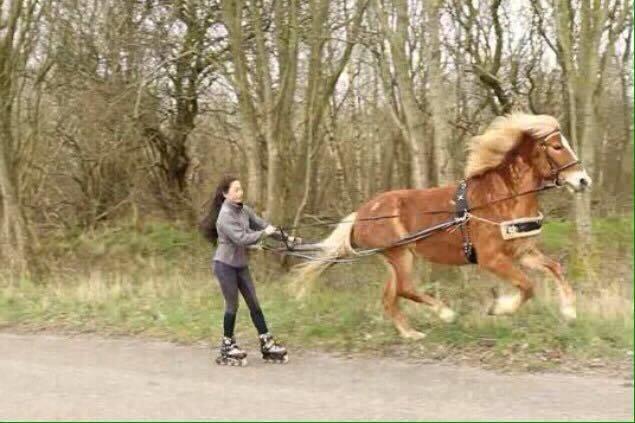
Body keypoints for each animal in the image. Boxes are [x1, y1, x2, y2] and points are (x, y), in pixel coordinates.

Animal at [296, 113, 592, 342]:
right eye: (556, 146)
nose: (583, 180)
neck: (500, 199)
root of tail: (361, 214)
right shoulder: (491, 259)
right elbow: (527, 285)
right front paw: (499, 308)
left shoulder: (521, 252)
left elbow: (554, 268)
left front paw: (569, 311)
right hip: (399, 254)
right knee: (405, 289)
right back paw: (445, 313)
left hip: (396, 259)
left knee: (391, 296)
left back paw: (410, 333)